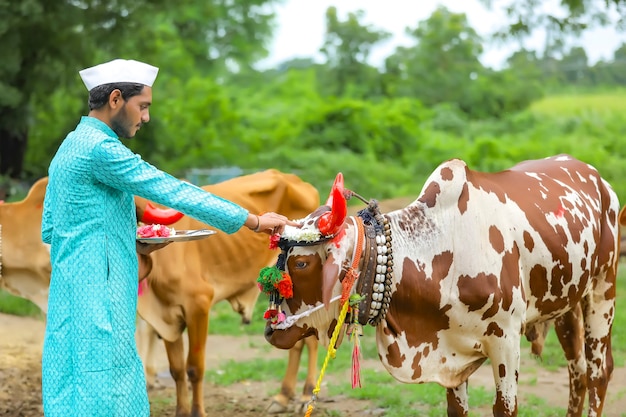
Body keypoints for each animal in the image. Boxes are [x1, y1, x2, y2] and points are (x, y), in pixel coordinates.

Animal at [132, 168, 316, 416]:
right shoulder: (168, 315)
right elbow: (177, 370)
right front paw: (181, 411)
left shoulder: (198, 306)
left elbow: (194, 368)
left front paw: (197, 412)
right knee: (295, 341)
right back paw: (283, 397)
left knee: (312, 340)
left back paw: (306, 395)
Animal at [260, 154, 616, 416]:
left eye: (301, 263)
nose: (270, 330)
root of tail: (597, 178)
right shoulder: (451, 353)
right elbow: (456, 409)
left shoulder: (506, 341)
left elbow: (505, 407)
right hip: (566, 305)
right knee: (577, 374)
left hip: (603, 291)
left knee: (598, 373)